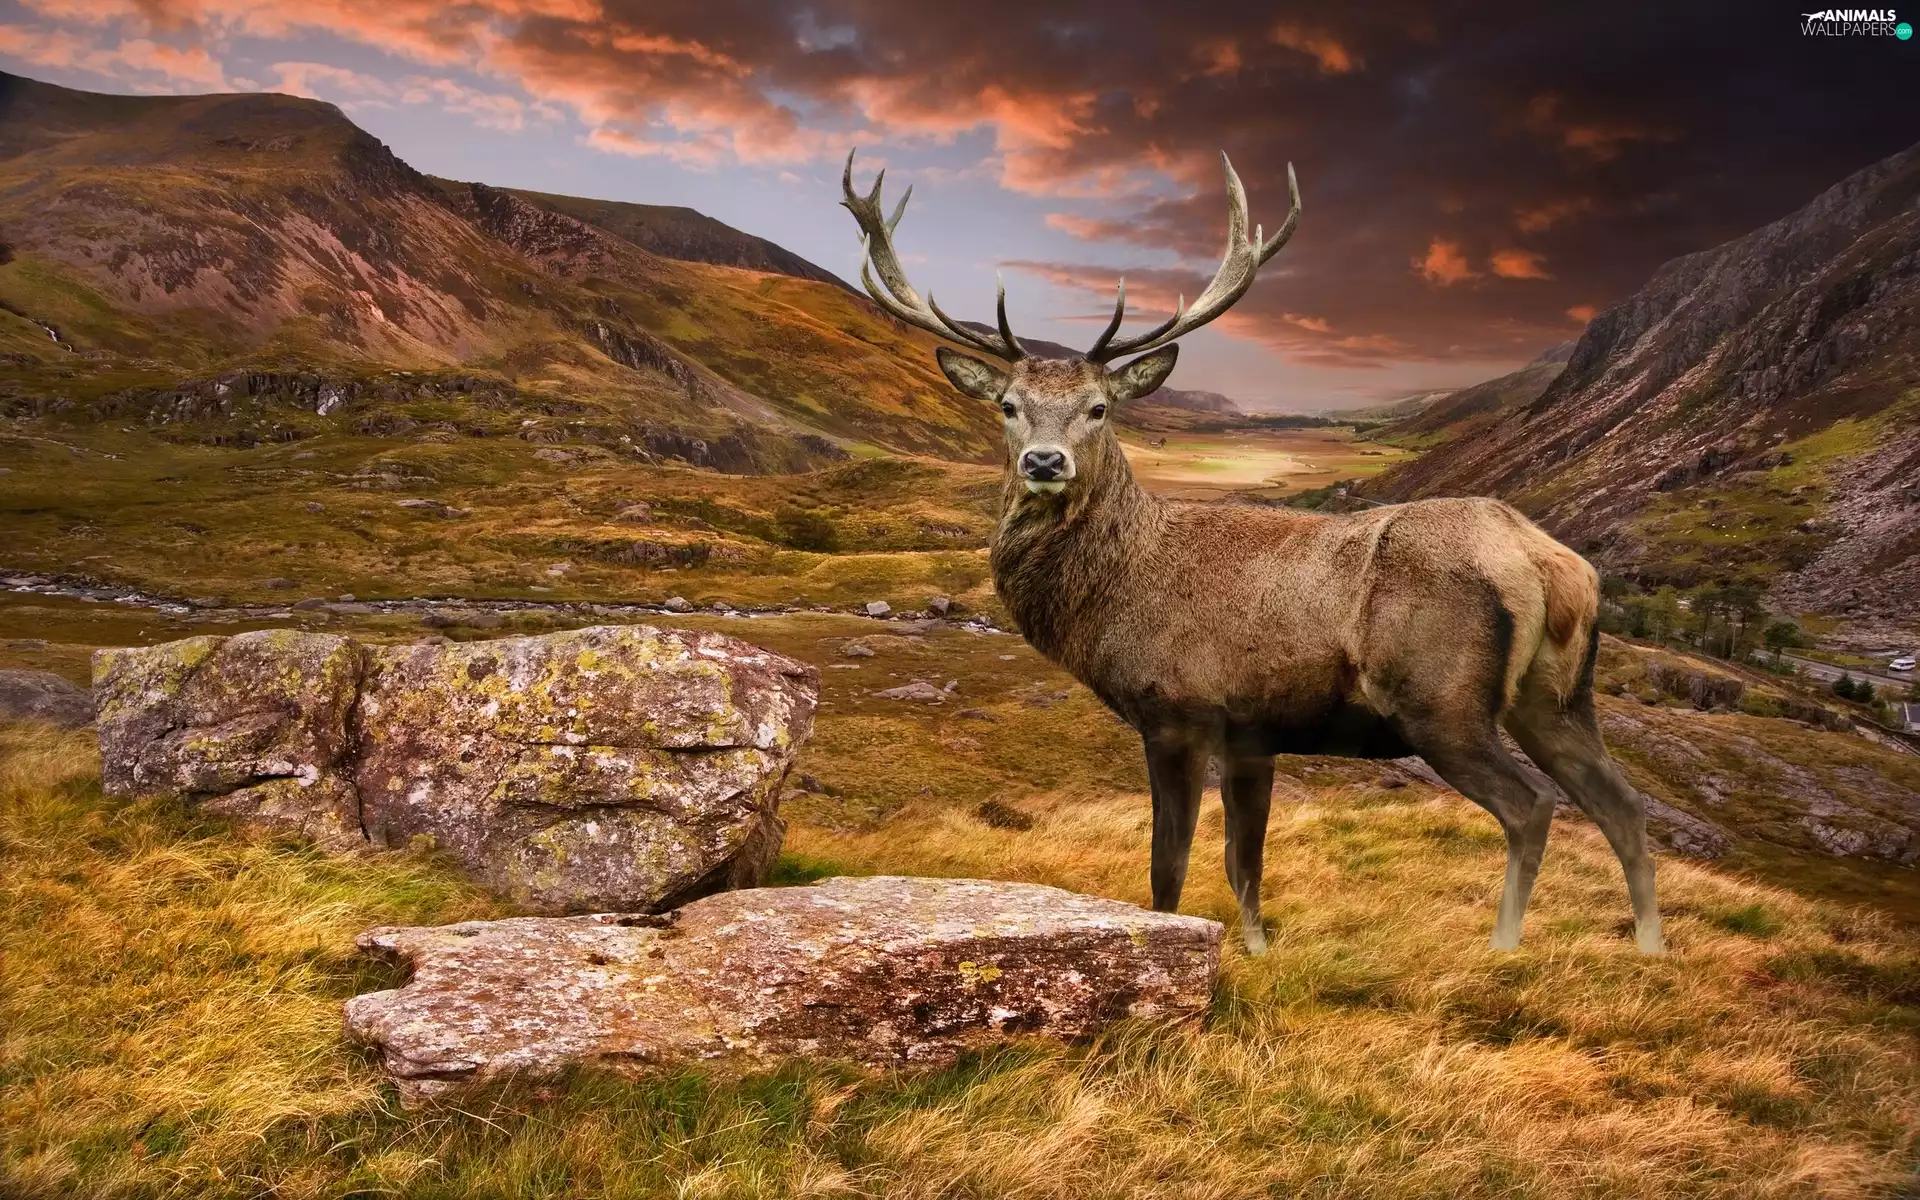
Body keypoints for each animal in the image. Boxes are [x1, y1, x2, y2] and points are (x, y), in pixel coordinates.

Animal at [839, 150, 1664, 957]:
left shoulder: (1177, 708)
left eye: (1099, 408)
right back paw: (1650, 950)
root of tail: (1552, 564)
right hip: (1555, 697)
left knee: (1533, 805)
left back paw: (1503, 948)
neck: (1114, 595)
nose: (1044, 462)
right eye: (1008, 406)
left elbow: (1169, 866)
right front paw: (1259, 953)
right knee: (1622, 804)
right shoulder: (1253, 735)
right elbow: (1246, 863)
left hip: (1442, 699)